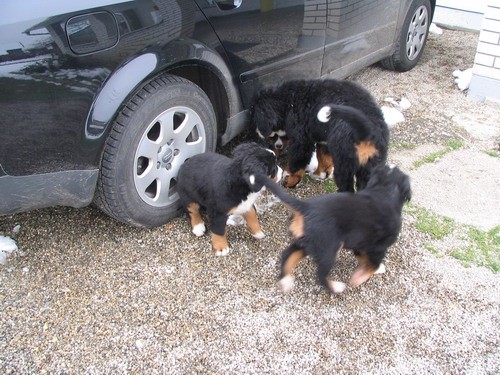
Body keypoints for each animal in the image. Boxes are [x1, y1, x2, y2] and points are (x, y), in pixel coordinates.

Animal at [250, 79, 390, 191]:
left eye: (254, 116)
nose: (257, 133)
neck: (288, 103)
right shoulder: (325, 138)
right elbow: (323, 156)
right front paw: (321, 173)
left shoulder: (302, 139)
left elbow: (297, 161)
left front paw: (289, 179)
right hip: (371, 162)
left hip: (345, 162)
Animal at [256, 166, 412, 296]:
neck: (385, 190)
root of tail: (307, 207)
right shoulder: (377, 246)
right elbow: (373, 263)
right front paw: (360, 277)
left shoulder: (360, 244)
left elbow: (365, 259)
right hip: (329, 247)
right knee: (320, 275)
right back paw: (336, 288)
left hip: (309, 241)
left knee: (287, 254)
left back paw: (286, 281)